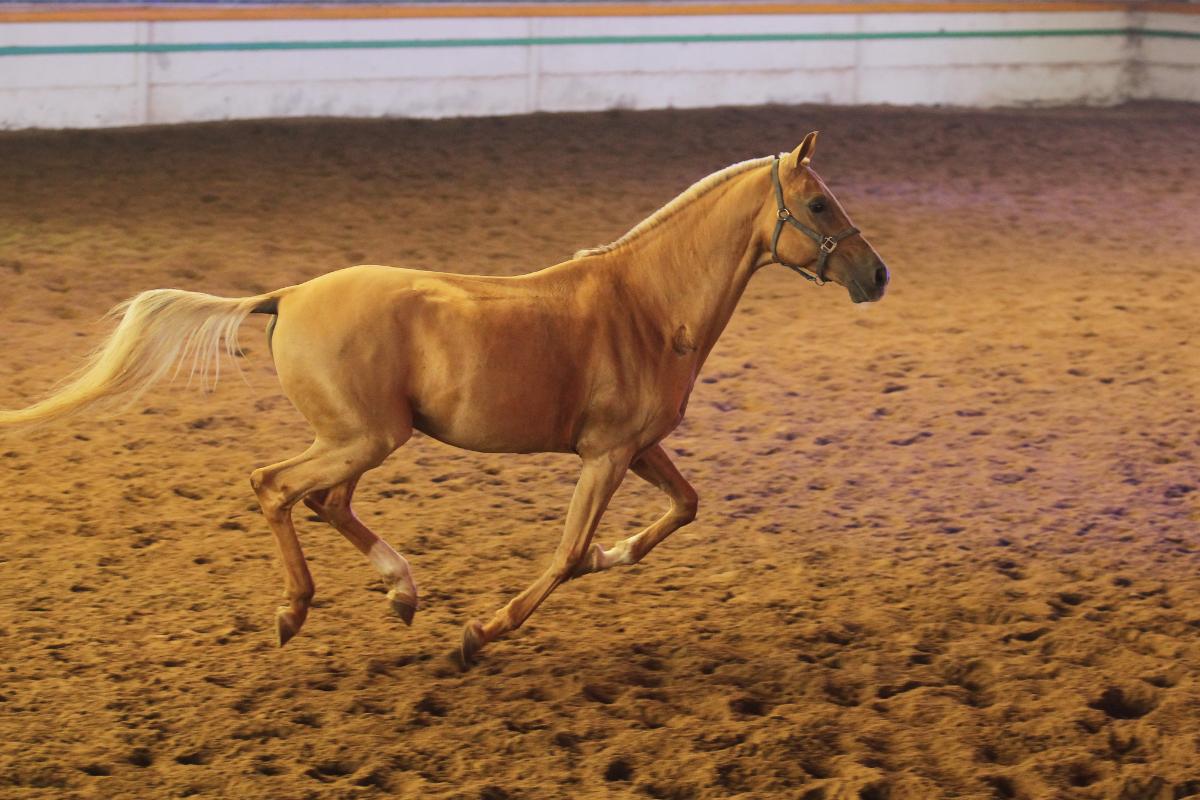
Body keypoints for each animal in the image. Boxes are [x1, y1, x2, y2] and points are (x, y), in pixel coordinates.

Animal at [2, 133, 892, 662]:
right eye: (819, 203)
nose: (877, 274)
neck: (644, 304)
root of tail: (288, 295)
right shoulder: (605, 455)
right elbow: (566, 552)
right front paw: (478, 633)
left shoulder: (638, 447)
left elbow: (682, 508)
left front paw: (614, 555)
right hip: (362, 438)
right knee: (276, 487)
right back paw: (297, 611)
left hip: (363, 439)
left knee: (325, 501)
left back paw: (400, 590)